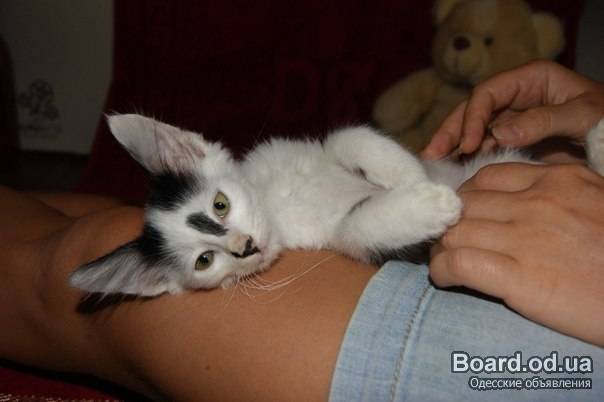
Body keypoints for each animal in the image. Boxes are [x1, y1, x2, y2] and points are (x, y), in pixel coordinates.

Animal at [69, 114, 604, 296]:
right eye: (205, 261)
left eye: (220, 204)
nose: (244, 247)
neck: (280, 202)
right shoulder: (332, 236)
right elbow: (355, 229)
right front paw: (427, 200)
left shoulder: (307, 149)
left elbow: (349, 137)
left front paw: (411, 173)